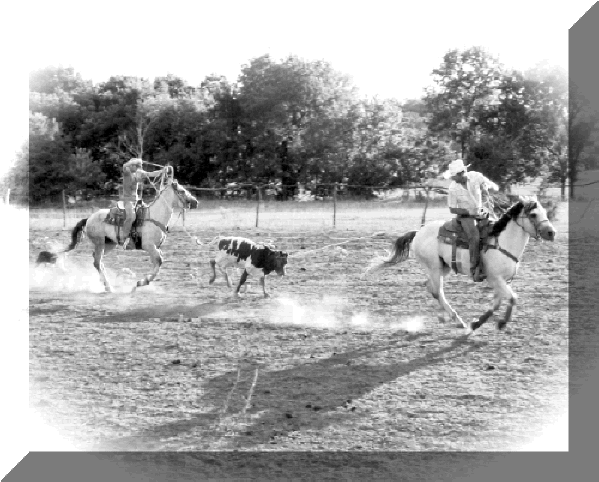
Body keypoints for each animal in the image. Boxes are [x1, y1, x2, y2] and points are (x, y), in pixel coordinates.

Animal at [64, 176, 198, 292]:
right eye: (182, 191)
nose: (195, 202)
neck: (155, 217)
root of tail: (89, 218)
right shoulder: (148, 246)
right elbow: (159, 261)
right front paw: (141, 283)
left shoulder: (154, 248)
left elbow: (157, 261)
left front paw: (142, 282)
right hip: (100, 243)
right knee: (97, 261)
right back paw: (109, 287)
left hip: (109, 244)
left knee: (97, 261)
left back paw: (106, 284)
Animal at [370, 197, 556, 336]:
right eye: (533, 214)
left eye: (544, 212)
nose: (551, 233)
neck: (503, 242)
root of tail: (418, 232)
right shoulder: (495, 278)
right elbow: (512, 298)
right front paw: (502, 323)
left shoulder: (502, 281)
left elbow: (496, 304)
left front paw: (476, 324)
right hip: (434, 267)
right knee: (438, 291)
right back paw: (457, 320)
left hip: (444, 268)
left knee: (430, 288)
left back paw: (449, 319)